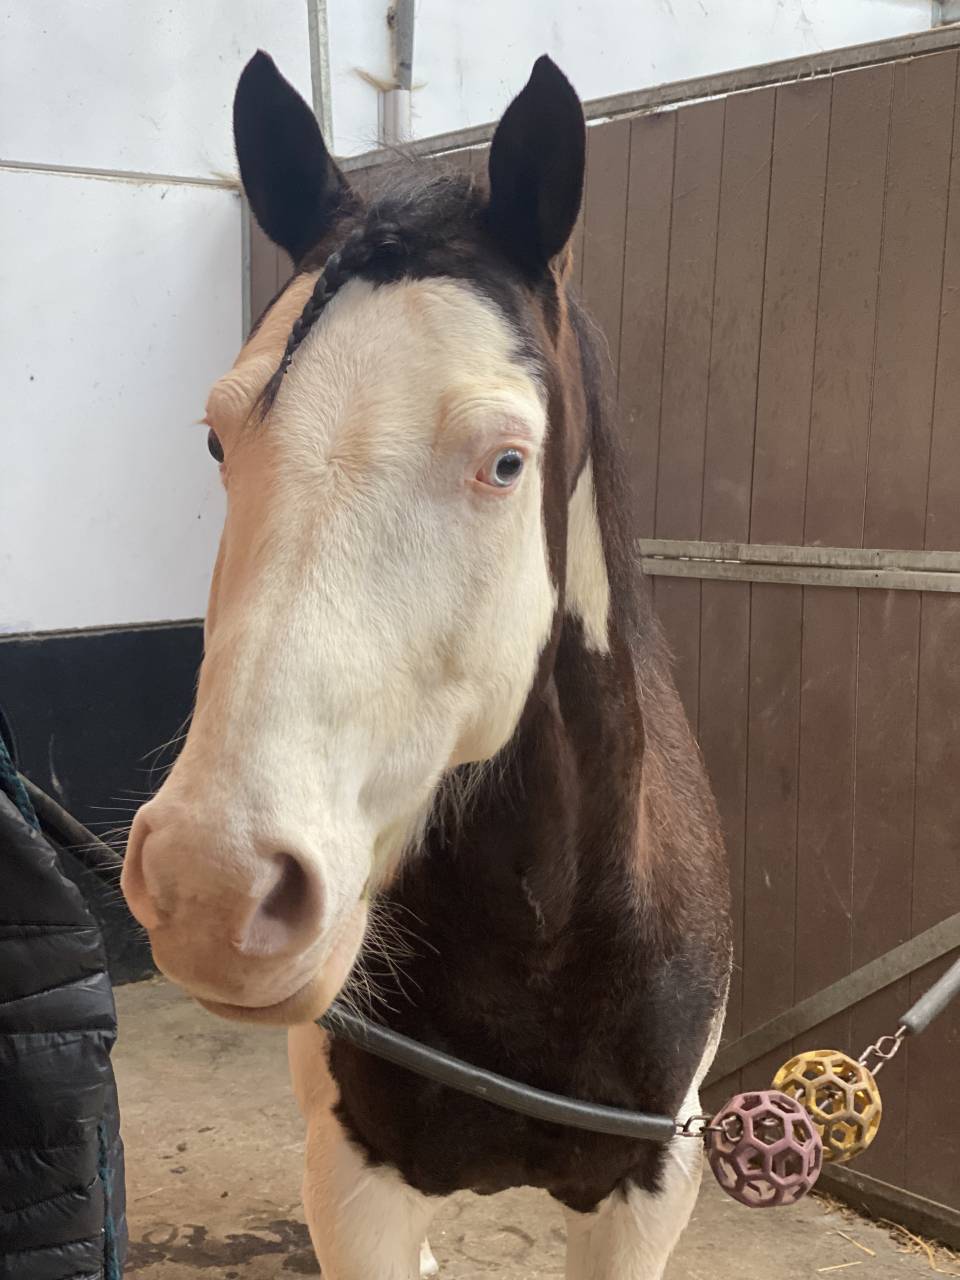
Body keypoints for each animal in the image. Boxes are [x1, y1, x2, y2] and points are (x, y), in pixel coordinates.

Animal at [121, 50, 731, 1280]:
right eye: (217, 438)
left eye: (506, 461)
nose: (213, 883)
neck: (541, 939)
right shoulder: (356, 1183)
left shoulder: (649, 1192)